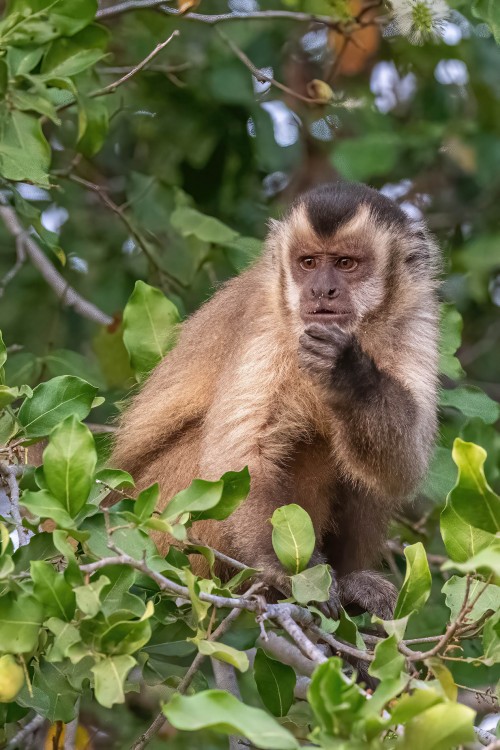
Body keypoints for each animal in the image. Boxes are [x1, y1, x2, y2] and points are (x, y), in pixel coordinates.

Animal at [111, 184, 440, 624]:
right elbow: (242, 458)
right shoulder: (267, 324)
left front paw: (348, 373)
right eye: (308, 263)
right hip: (161, 521)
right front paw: (287, 573)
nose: (321, 290)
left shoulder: (415, 319)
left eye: (346, 263)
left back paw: (352, 580)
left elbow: (406, 462)